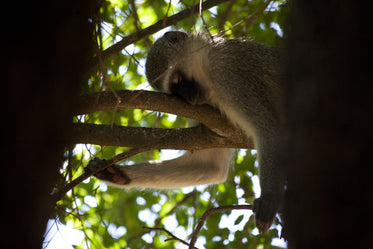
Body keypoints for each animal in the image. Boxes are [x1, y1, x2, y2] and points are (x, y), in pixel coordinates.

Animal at [93, 31, 284, 233]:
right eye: (175, 93)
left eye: (178, 80)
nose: (190, 98)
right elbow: (210, 165)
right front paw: (116, 173)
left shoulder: (227, 73)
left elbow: (267, 128)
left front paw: (269, 199)